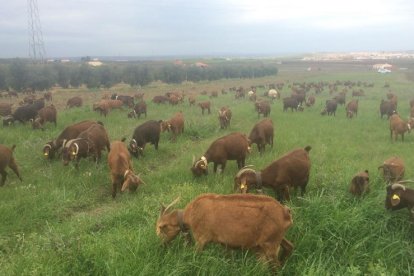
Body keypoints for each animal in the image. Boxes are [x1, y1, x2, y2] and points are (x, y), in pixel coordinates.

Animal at [156, 193, 294, 268]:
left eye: (161, 229)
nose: (163, 245)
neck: (189, 216)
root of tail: (286, 213)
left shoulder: (201, 239)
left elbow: (196, 256)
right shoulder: (225, 242)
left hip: (270, 244)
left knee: (276, 266)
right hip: (275, 240)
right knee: (289, 246)